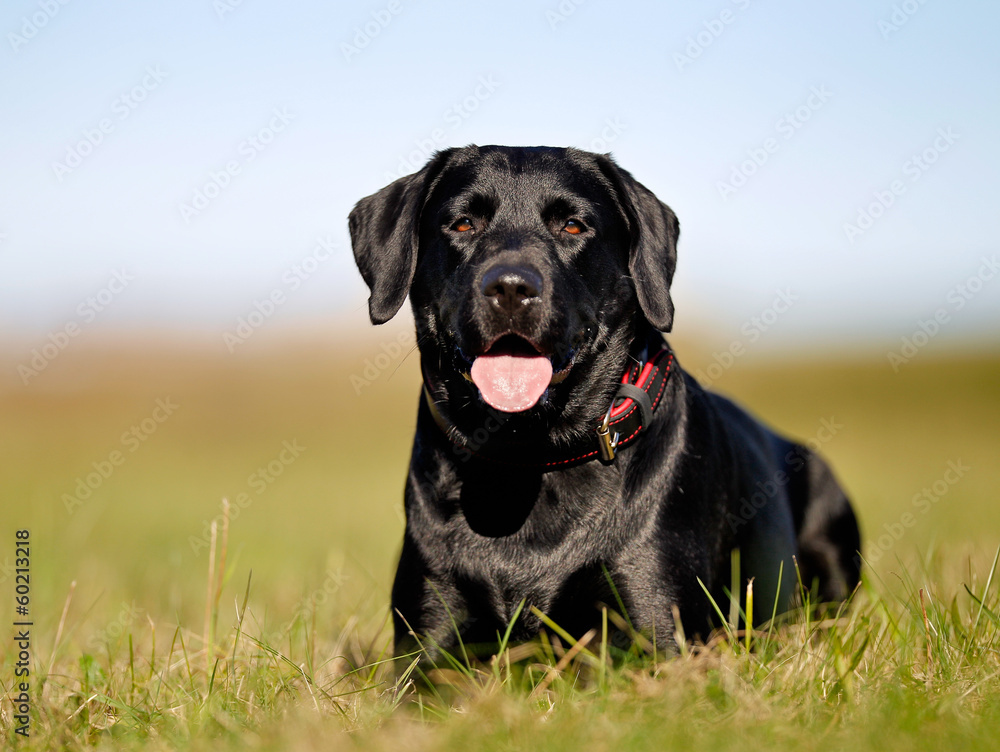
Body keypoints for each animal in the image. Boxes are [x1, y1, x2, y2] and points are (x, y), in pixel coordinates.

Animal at [350, 145, 860, 656]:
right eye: (462, 224)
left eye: (574, 226)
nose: (511, 287)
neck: (526, 458)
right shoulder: (427, 632)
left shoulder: (659, 625)